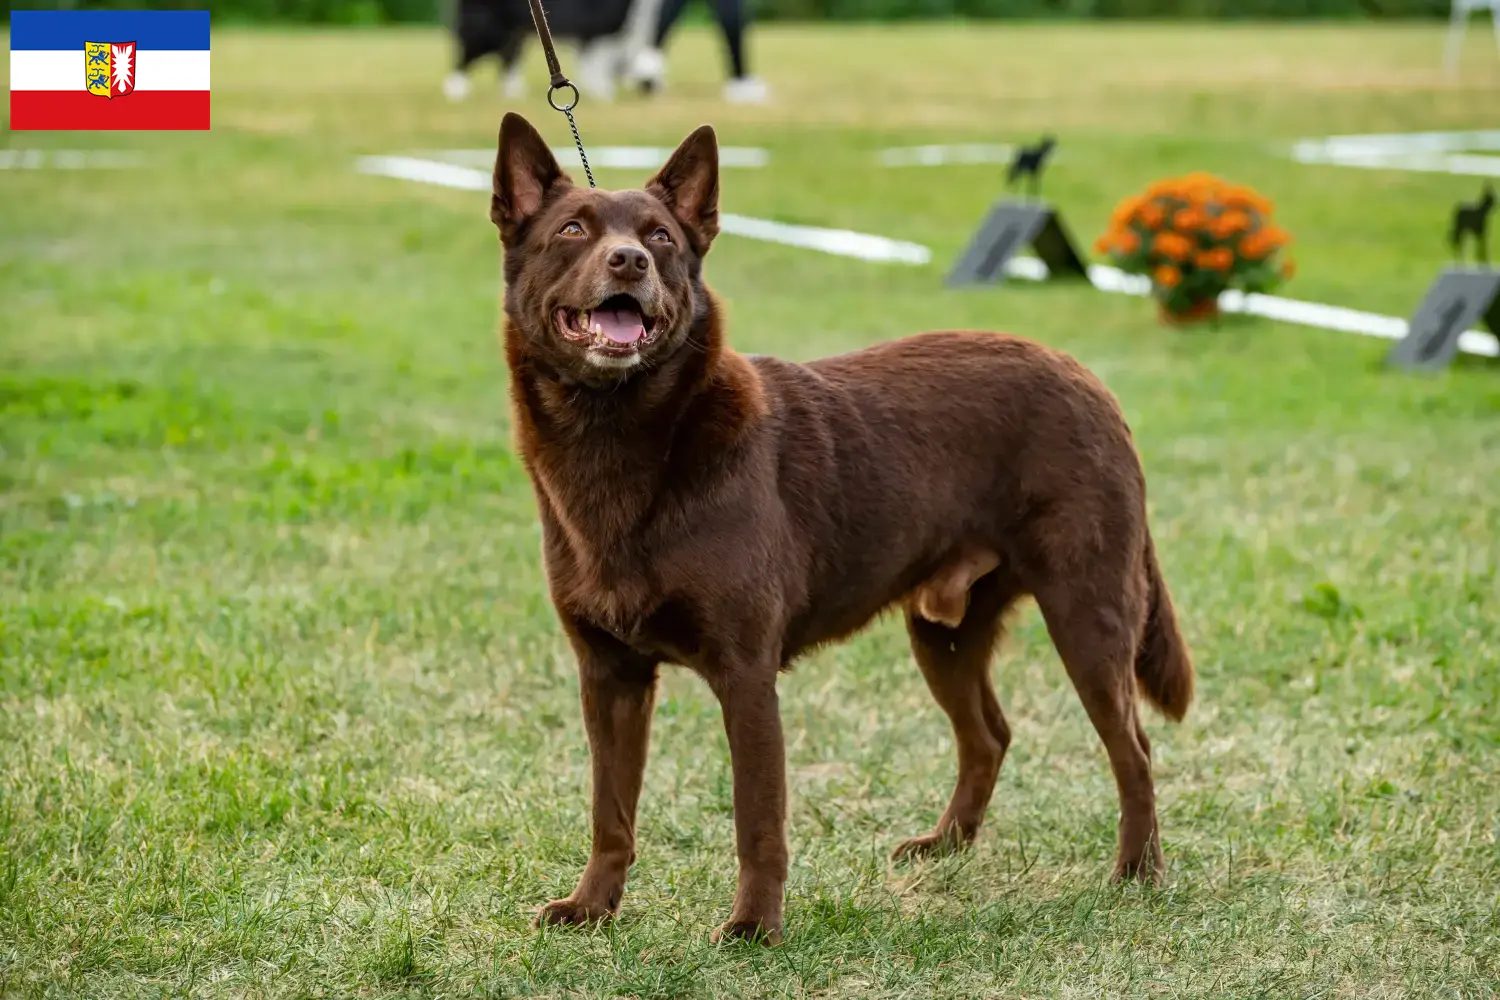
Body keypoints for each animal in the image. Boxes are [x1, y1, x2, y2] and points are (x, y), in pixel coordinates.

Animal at [435, 0, 762, 105]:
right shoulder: (598, 28)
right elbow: (597, 64)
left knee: (509, 59)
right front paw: (604, 94)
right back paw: (456, 90)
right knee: (466, 53)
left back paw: (513, 92)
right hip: (491, 26)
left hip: (517, 30)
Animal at [492, 113, 1194, 941]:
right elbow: (611, 810)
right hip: (944, 630)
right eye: (572, 229)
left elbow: (757, 818)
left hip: (1088, 611)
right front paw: (592, 907)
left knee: (1134, 748)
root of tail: (1089, 380)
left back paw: (1137, 872)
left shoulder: (746, 674)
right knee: (989, 734)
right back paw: (945, 846)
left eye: (660, 237)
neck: (622, 438)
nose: (629, 261)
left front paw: (754, 929)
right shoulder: (609, 676)